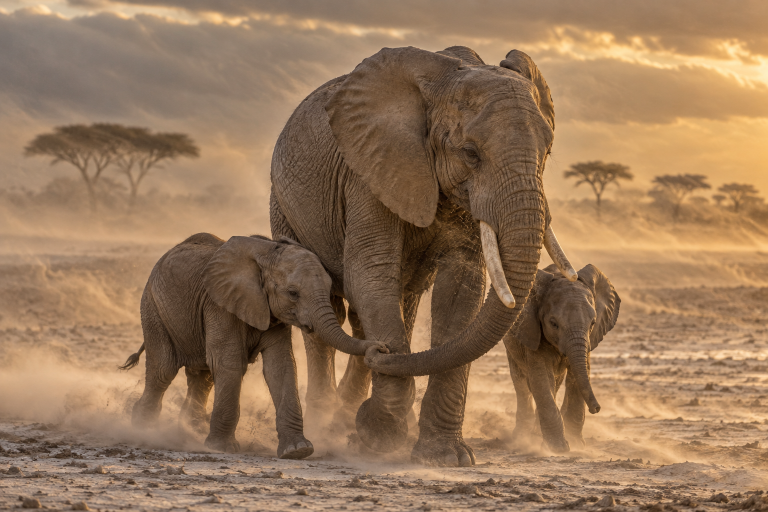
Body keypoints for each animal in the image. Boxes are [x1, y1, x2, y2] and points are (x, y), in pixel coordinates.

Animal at [119, 233, 385, 458]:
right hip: (153, 308)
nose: (381, 348)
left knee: (202, 377)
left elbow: (281, 366)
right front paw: (222, 448)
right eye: (293, 293)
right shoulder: (219, 305)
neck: (266, 252)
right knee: (163, 370)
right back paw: (144, 430)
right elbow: (230, 364)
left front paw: (298, 450)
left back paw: (190, 432)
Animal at [270, 44, 577, 466]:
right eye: (470, 153)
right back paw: (330, 420)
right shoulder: (369, 169)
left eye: (546, 152)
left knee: (396, 303)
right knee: (328, 308)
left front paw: (443, 457)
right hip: (283, 206)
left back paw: (349, 414)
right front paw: (376, 437)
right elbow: (370, 271)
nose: (380, 353)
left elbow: (463, 288)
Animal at [504, 264, 620, 452]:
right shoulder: (533, 331)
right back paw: (520, 438)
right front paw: (558, 448)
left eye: (593, 323)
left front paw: (576, 444)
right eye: (553, 323)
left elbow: (579, 375)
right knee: (521, 382)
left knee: (555, 383)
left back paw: (535, 435)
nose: (596, 408)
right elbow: (541, 378)